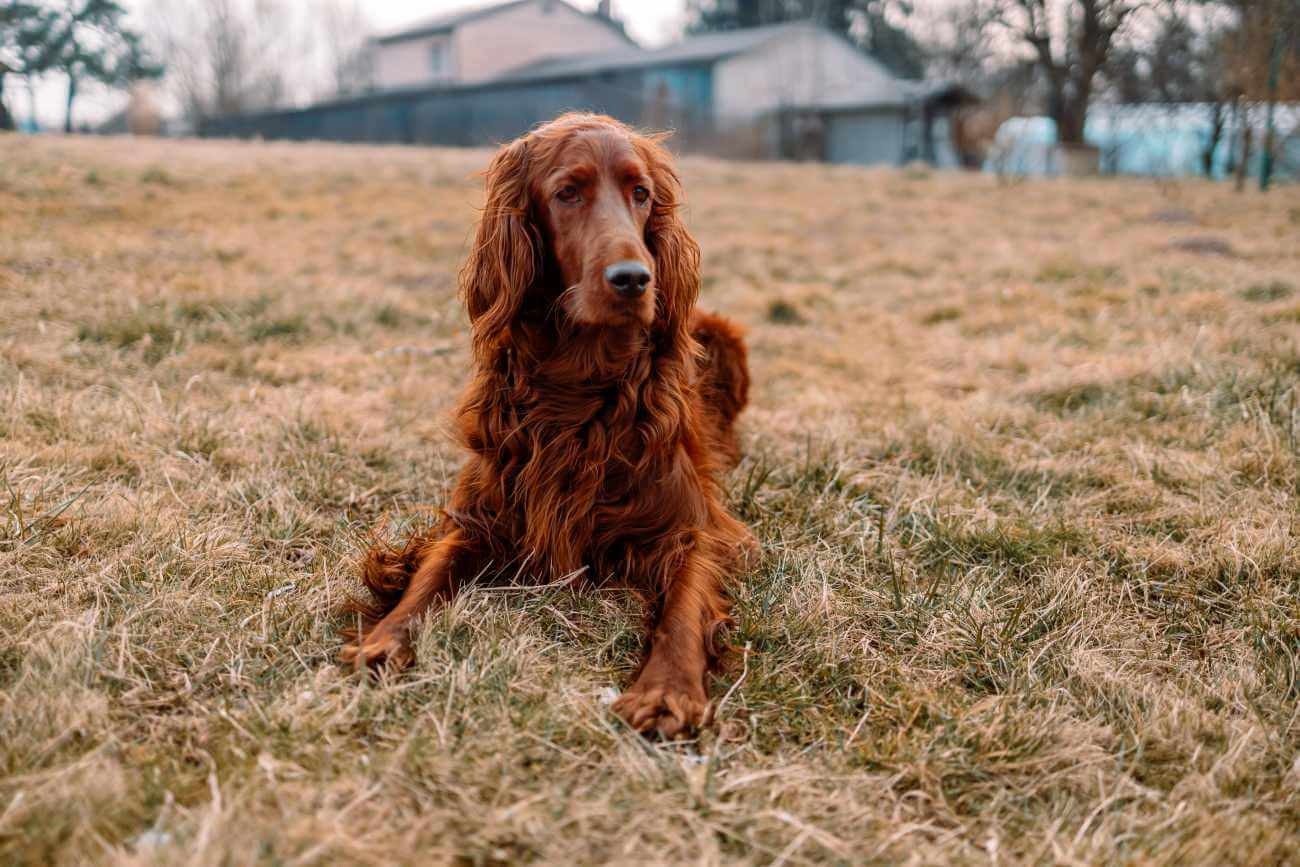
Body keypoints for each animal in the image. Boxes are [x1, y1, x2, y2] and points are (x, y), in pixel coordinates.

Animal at [343, 113, 754, 738]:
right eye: (568, 193)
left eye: (641, 193)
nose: (634, 279)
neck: (578, 383)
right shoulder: (482, 515)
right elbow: (430, 575)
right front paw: (387, 637)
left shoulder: (691, 527)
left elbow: (683, 606)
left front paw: (666, 690)